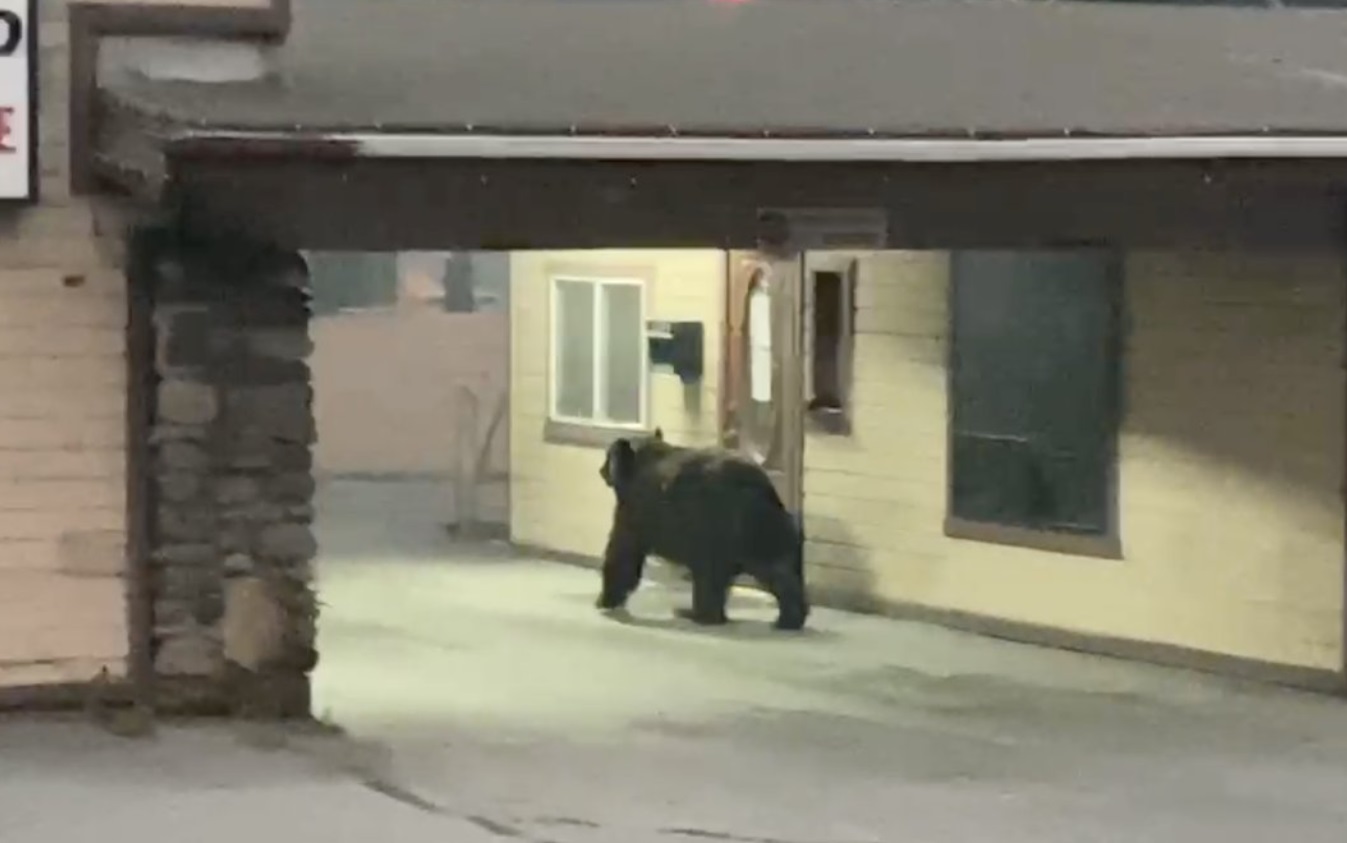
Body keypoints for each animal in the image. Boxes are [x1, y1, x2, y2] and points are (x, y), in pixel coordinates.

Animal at [595, 425, 802, 630]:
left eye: (607, 456)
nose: (601, 471)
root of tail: (763, 485)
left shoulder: (638, 507)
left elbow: (623, 551)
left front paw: (605, 600)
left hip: (722, 523)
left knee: (716, 573)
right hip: (758, 528)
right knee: (774, 565)